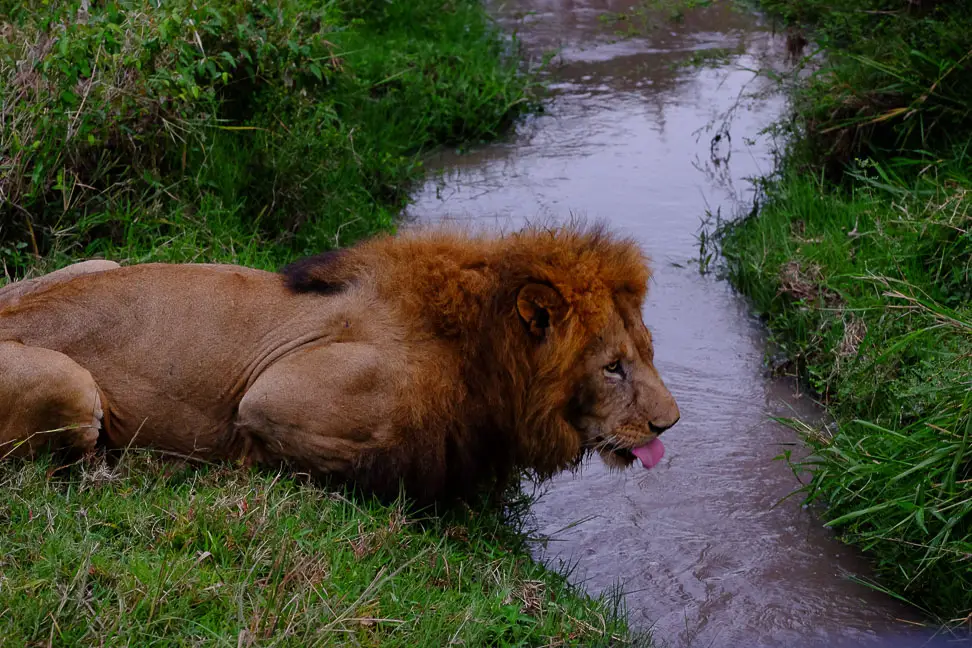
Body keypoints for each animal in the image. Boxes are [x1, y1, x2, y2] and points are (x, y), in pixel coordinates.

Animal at [0, 224, 679, 503]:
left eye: (648, 351)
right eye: (613, 367)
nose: (669, 424)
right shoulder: (274, 396)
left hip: (97, 264)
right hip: (74, 384)